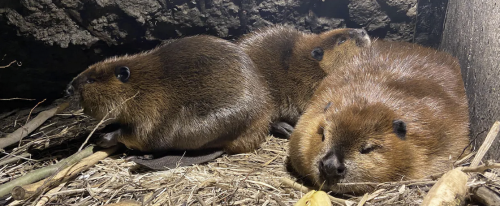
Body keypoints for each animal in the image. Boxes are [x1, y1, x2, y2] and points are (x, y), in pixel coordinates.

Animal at [65, 34, 274, 168]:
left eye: (91, 80)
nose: (69, 88)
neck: (140, 85)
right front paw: (103, 130)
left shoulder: (149, 111)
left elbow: (137, 135)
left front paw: (103, 138)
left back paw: (145, 157)